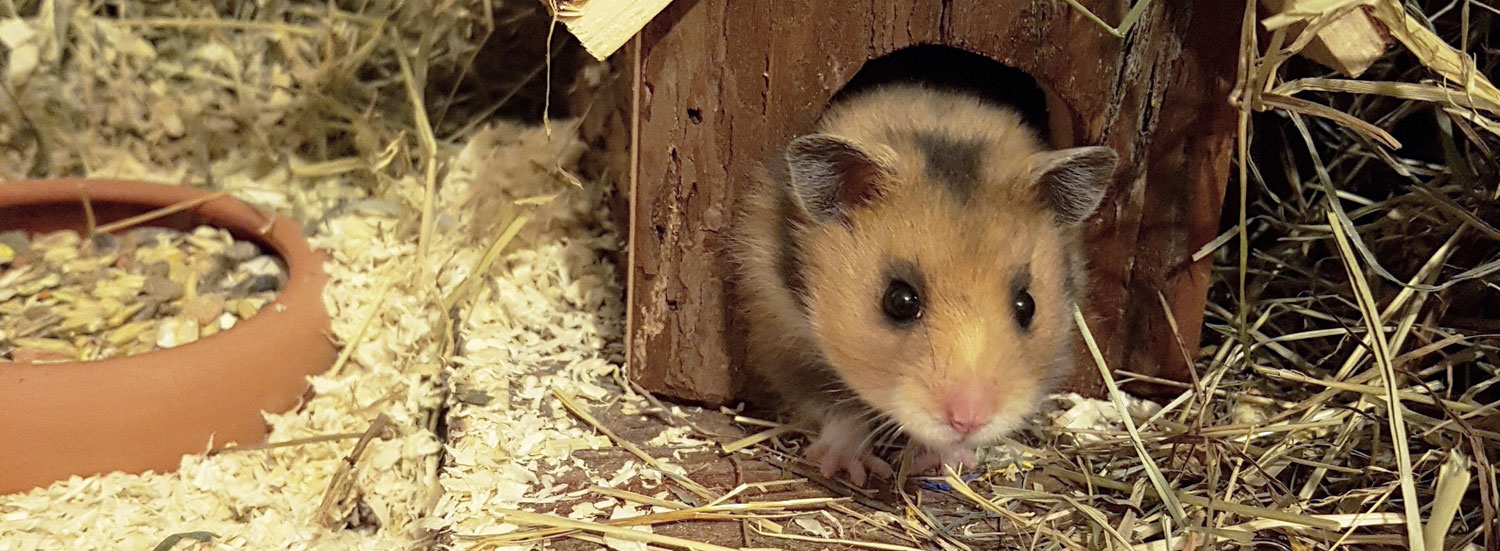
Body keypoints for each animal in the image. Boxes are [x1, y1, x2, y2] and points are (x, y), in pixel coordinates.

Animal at [726, 82, 1116, 486]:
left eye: (1027, 305)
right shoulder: (783, 338)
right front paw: (850, 469)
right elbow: (838, 408)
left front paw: (953, 462)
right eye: (899, 301)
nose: (969, 421)